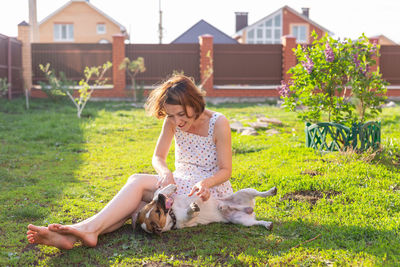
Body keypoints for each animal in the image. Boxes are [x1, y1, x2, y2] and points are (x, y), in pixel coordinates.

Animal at [136, 184, 276, 234]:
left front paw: (169, 188)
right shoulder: (184, 220)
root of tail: (248, 208)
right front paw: (192, 208)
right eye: (158, 212)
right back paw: (267, 224)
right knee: (257, 222)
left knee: (260, 193)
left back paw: (271, 191)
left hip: (245, 192)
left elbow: (156, 193)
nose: (162, 197)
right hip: (243, 221)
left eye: (155, 209)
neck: (172, 214)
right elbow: (188, 214)